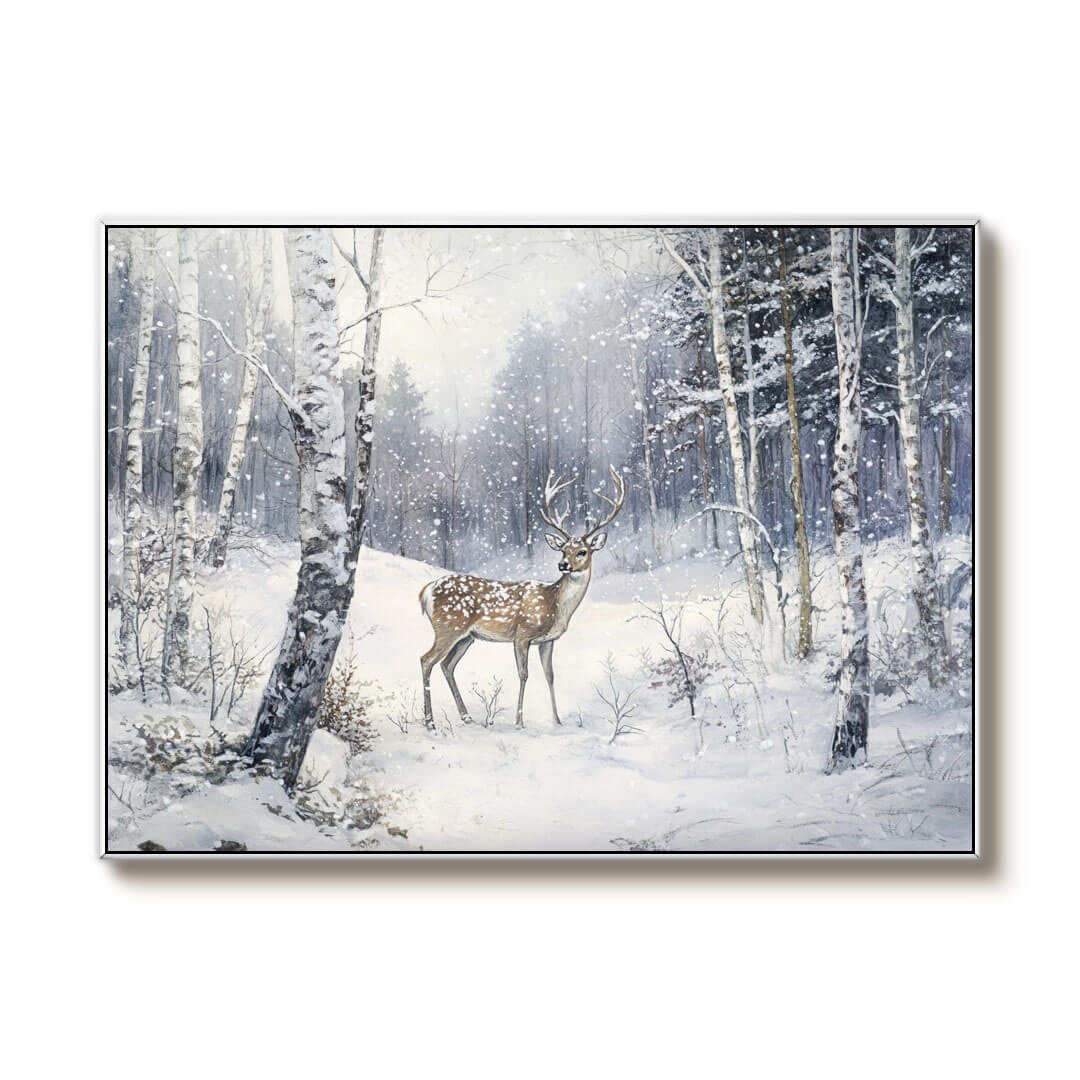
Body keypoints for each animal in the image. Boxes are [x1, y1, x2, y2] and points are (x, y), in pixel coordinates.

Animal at [419, 466, 627, 730]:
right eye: (563, 550)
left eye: (582, 551)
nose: (563, 565)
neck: (555, 605)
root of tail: (426, 591)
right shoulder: (522, 634)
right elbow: (524, 674)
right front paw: (519, 721)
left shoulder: (548, 640)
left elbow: (550, 675)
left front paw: (557, 720)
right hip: (448, 627)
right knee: (426, 660)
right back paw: (430, 723)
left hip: (467, 637)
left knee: (447, 665)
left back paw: (466, 717)